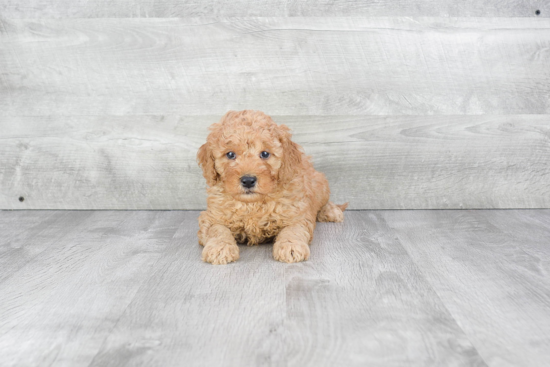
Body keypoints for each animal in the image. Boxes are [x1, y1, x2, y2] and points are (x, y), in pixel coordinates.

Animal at [198, 109, 350, 264]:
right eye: (230, 154)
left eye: (265, 154)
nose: (248, 180)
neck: (252, 204)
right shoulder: (212, 216)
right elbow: (217, 229)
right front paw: (220, 247)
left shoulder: (296, 213)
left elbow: (293, 230)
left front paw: (291, 246)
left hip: (319, 183)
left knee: (323, 202)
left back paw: (331, 211)